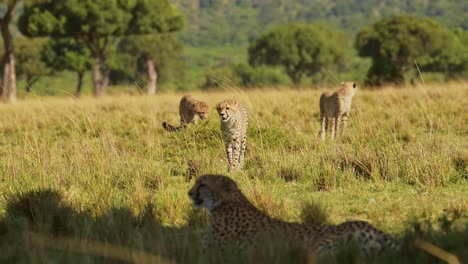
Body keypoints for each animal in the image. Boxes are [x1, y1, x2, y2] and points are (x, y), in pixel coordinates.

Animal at [188, 174, 400, 255]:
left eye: (202, 184)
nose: (189, 193)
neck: (226, 202)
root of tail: (368, 225)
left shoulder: (211, 252)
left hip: (320, 246)